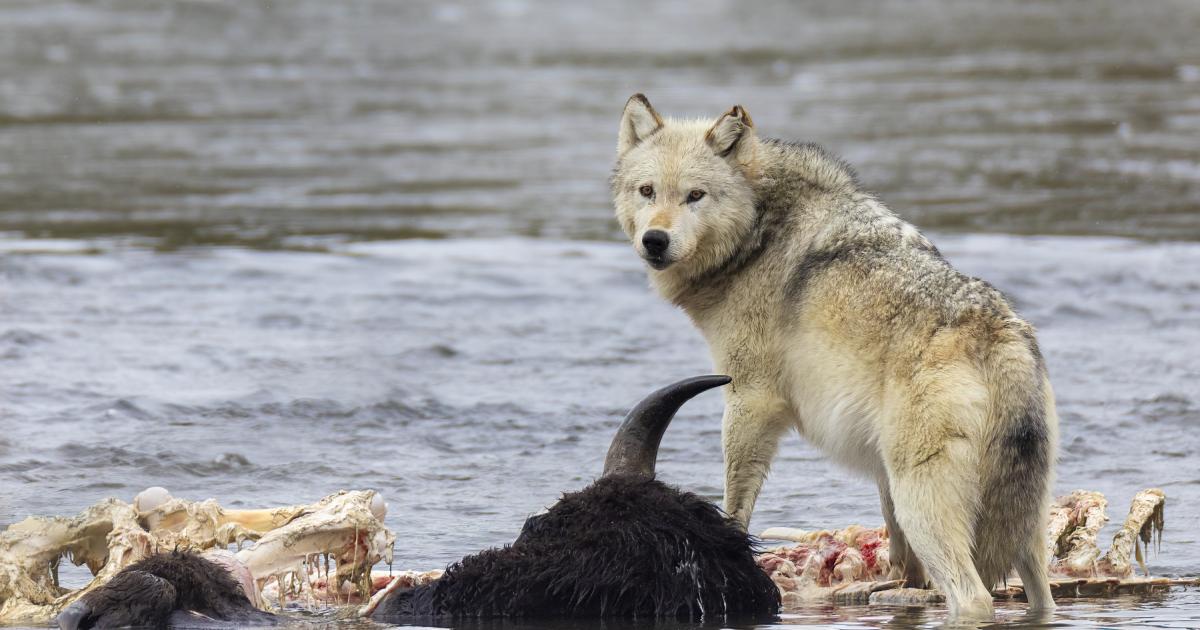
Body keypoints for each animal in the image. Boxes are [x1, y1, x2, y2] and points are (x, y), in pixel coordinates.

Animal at [610, 94, 1058, 621]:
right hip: (1023, 534)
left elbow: (736, 503)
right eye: (647, 191)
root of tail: (997, 335)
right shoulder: (879, 469)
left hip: (926, 507)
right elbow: (897, 547)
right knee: (1040, 597)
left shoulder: (748, 400)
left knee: (974, 599)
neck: (759, 230)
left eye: (695, 196)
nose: (655, 240)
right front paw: (898, 586)